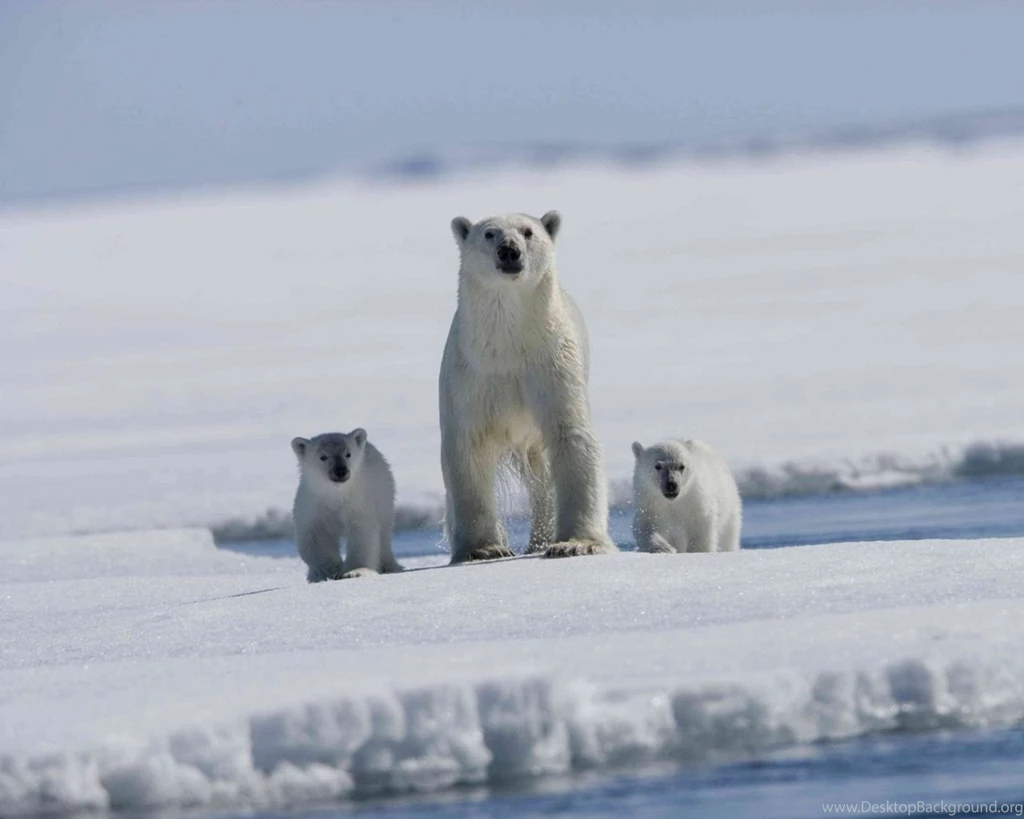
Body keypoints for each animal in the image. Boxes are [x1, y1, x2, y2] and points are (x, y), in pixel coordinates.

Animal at [290, 429, 403, 582]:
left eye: (348, 454)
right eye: (323, 456)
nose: (340, 470)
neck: (335, 494)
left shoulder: (357, 502)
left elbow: (361, 532)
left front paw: (355, 571)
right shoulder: (312, 505)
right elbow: (316, 536)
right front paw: (330, 570)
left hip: (383, 494)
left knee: (384, 533)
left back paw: (389, 566)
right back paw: (314, 576)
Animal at [439, 210, 616, 562]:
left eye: (528, 231)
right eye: (489, 233)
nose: (509, 251)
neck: (508, 344)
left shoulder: (551, 364)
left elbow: (571, 435)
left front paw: (576, 543)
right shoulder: (470, 376)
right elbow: (467, 448)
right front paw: (483, 548)